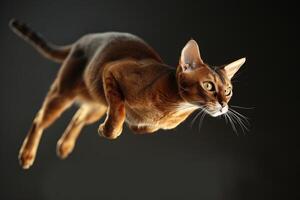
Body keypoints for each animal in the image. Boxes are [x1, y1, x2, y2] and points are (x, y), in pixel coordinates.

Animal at [10, 18, 247, 170]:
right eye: (208, 86)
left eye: (228, 91)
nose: (223, 104)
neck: (173, 108)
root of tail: (82, 40)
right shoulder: (111, 70)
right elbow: (119, 110)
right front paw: (110, 130)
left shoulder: (155, 122)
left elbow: (147, 126)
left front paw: (135, 126)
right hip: (64, 93)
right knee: (40, 119)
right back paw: (27, 155)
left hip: (96, 103)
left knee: (79, 117)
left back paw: (65, 146)